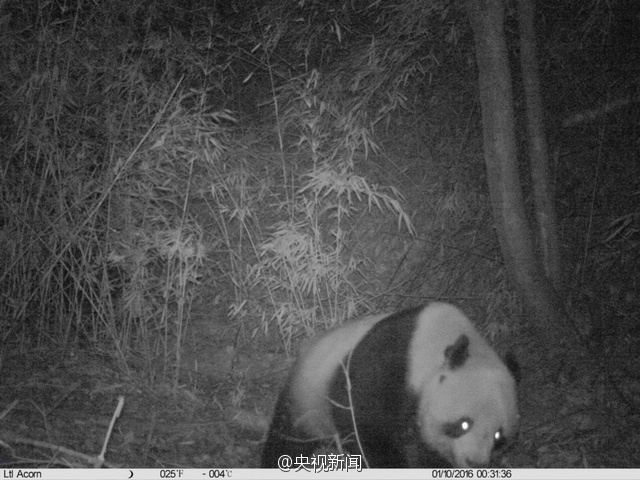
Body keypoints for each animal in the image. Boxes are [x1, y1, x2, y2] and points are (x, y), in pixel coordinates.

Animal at [260, 304, 520, 468]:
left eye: (498, 436)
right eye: (463, 424)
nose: (475, 462)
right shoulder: (387, 363)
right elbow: (362, 423)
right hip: (306, 398)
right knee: (288, 440)